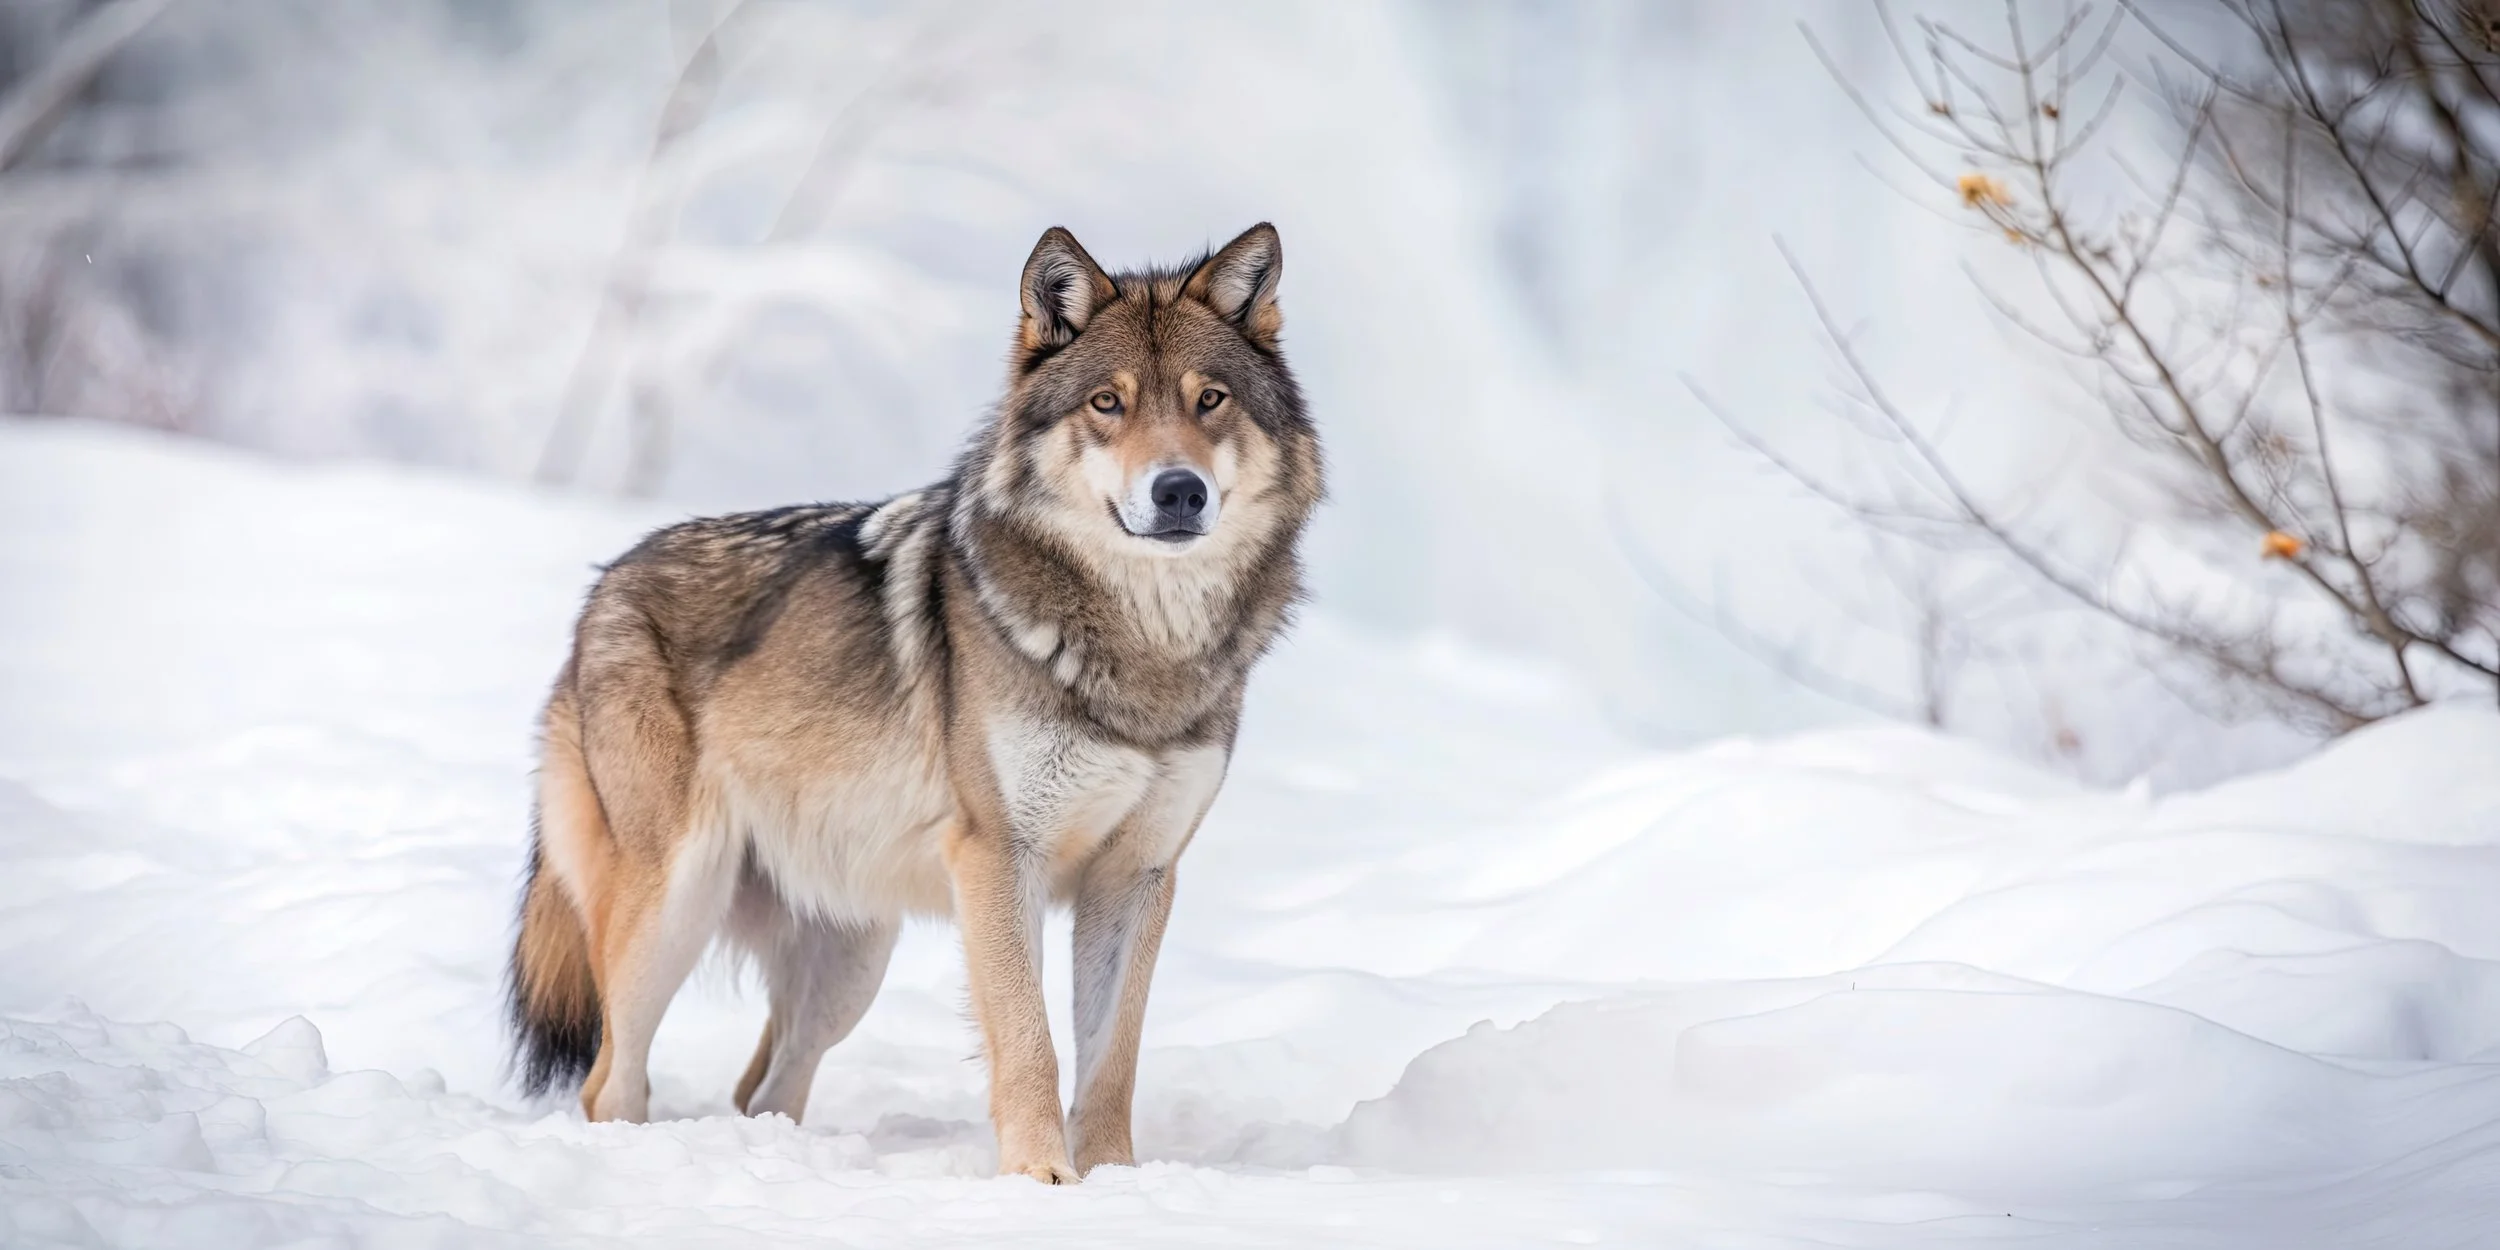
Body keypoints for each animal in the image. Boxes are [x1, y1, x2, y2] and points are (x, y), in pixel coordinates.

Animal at [504, 223, 1321, 1183]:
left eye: (1210, 400)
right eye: (1107, 404)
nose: (1179, 490)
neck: (1141, 648)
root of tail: (604, 586)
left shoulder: (1138, 876)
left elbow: (1112, 1059)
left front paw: (1117, 1179)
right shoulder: (999, 858)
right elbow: (1031, 1043)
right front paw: (1042, 1179)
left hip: (851, 964)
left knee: (763, 1085)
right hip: (674, 909)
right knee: (612, 1082)